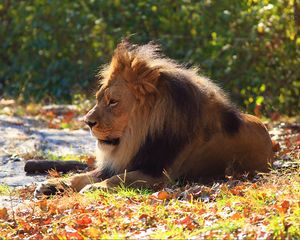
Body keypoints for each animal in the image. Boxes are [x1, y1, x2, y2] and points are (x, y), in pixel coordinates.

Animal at [34, 40, 274, 196]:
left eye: (113, 101)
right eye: (99, 99)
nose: (87, 122)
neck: (137, 136)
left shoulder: (160, 175)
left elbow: (120, 178)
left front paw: (95, 188)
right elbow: (83, 175)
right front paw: (53, 184)